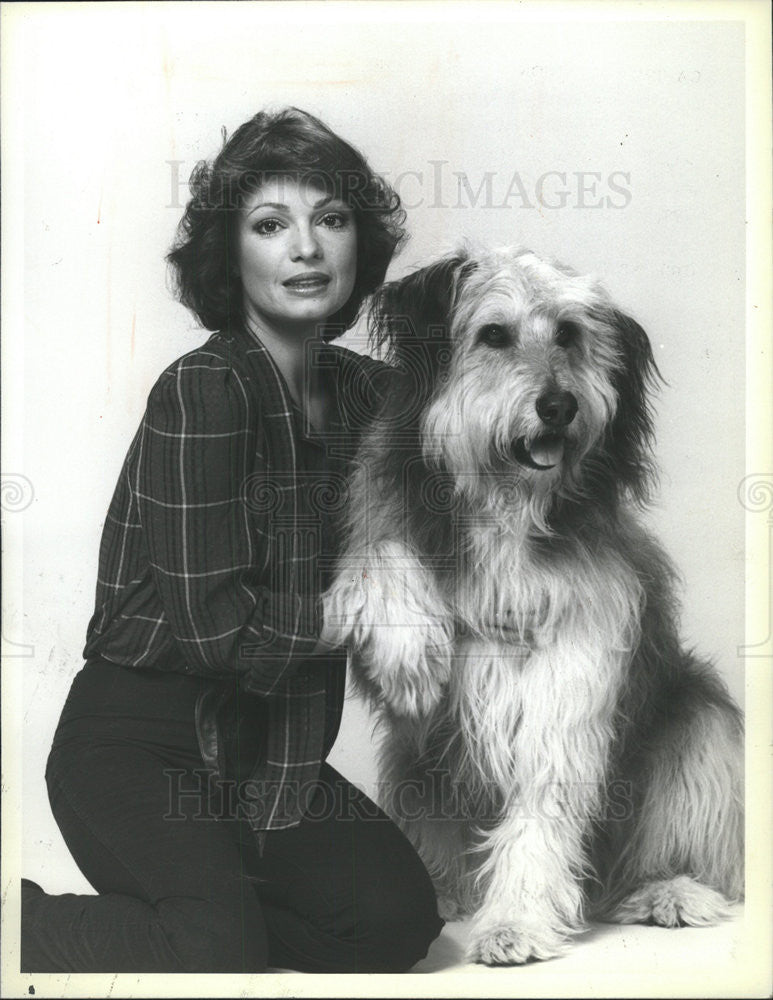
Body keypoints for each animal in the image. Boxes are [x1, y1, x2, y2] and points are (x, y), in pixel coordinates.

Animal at [322, 246, 744, 964]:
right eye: (494, 334)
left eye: (569, 335)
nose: (558, 405)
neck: (507, 507)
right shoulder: (383, 520)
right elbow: (380, 554)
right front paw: (410, 657)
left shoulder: (571, 669)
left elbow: (540, 804)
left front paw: (515, 921)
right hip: (411, 769)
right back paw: (444, 889)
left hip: (700, 725)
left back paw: (668, 891)